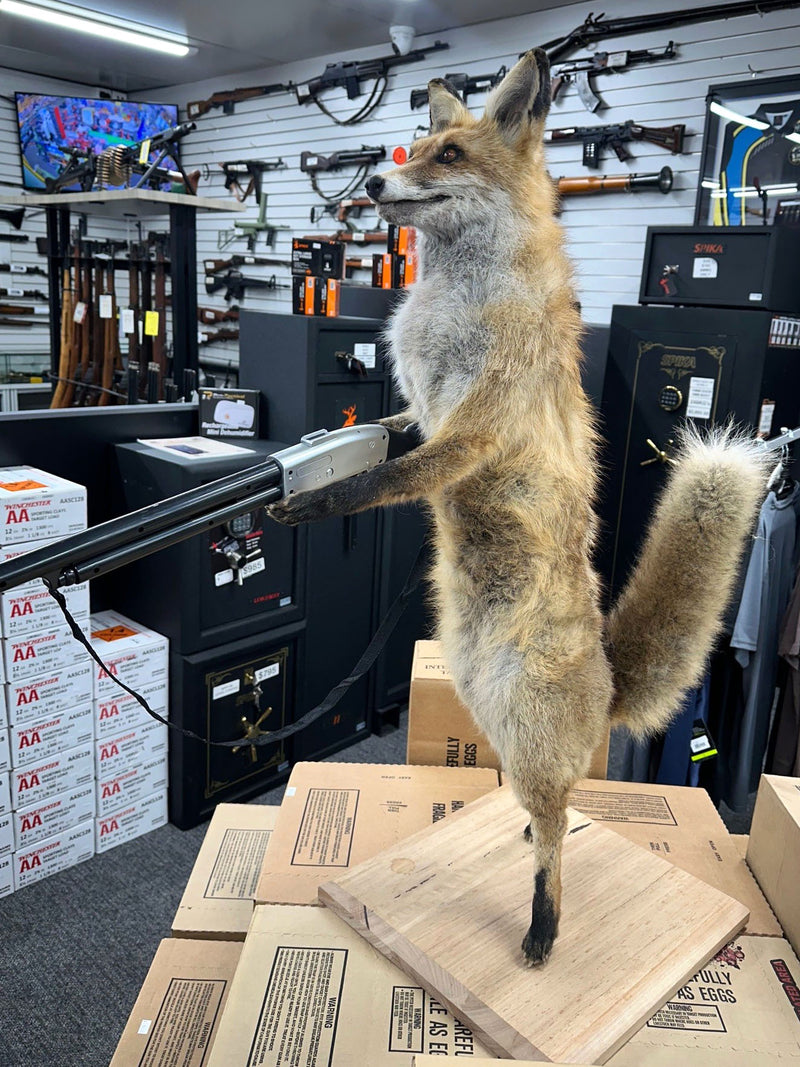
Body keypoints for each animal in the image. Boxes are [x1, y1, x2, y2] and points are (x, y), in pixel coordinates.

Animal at [270, 49, 769, 965]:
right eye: (415, 147)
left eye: (449, 157)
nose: (372, 188)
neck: (449, 302)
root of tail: (607, 685)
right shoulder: (422, 412)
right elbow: (386, 440)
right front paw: (310, 454)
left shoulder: (474, 428)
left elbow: (380, 483)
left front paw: (313, 500)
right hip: (496, 719)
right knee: (551, 814)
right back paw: (521, 840)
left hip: (527, 733)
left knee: (562, 832)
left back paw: (543, 927)